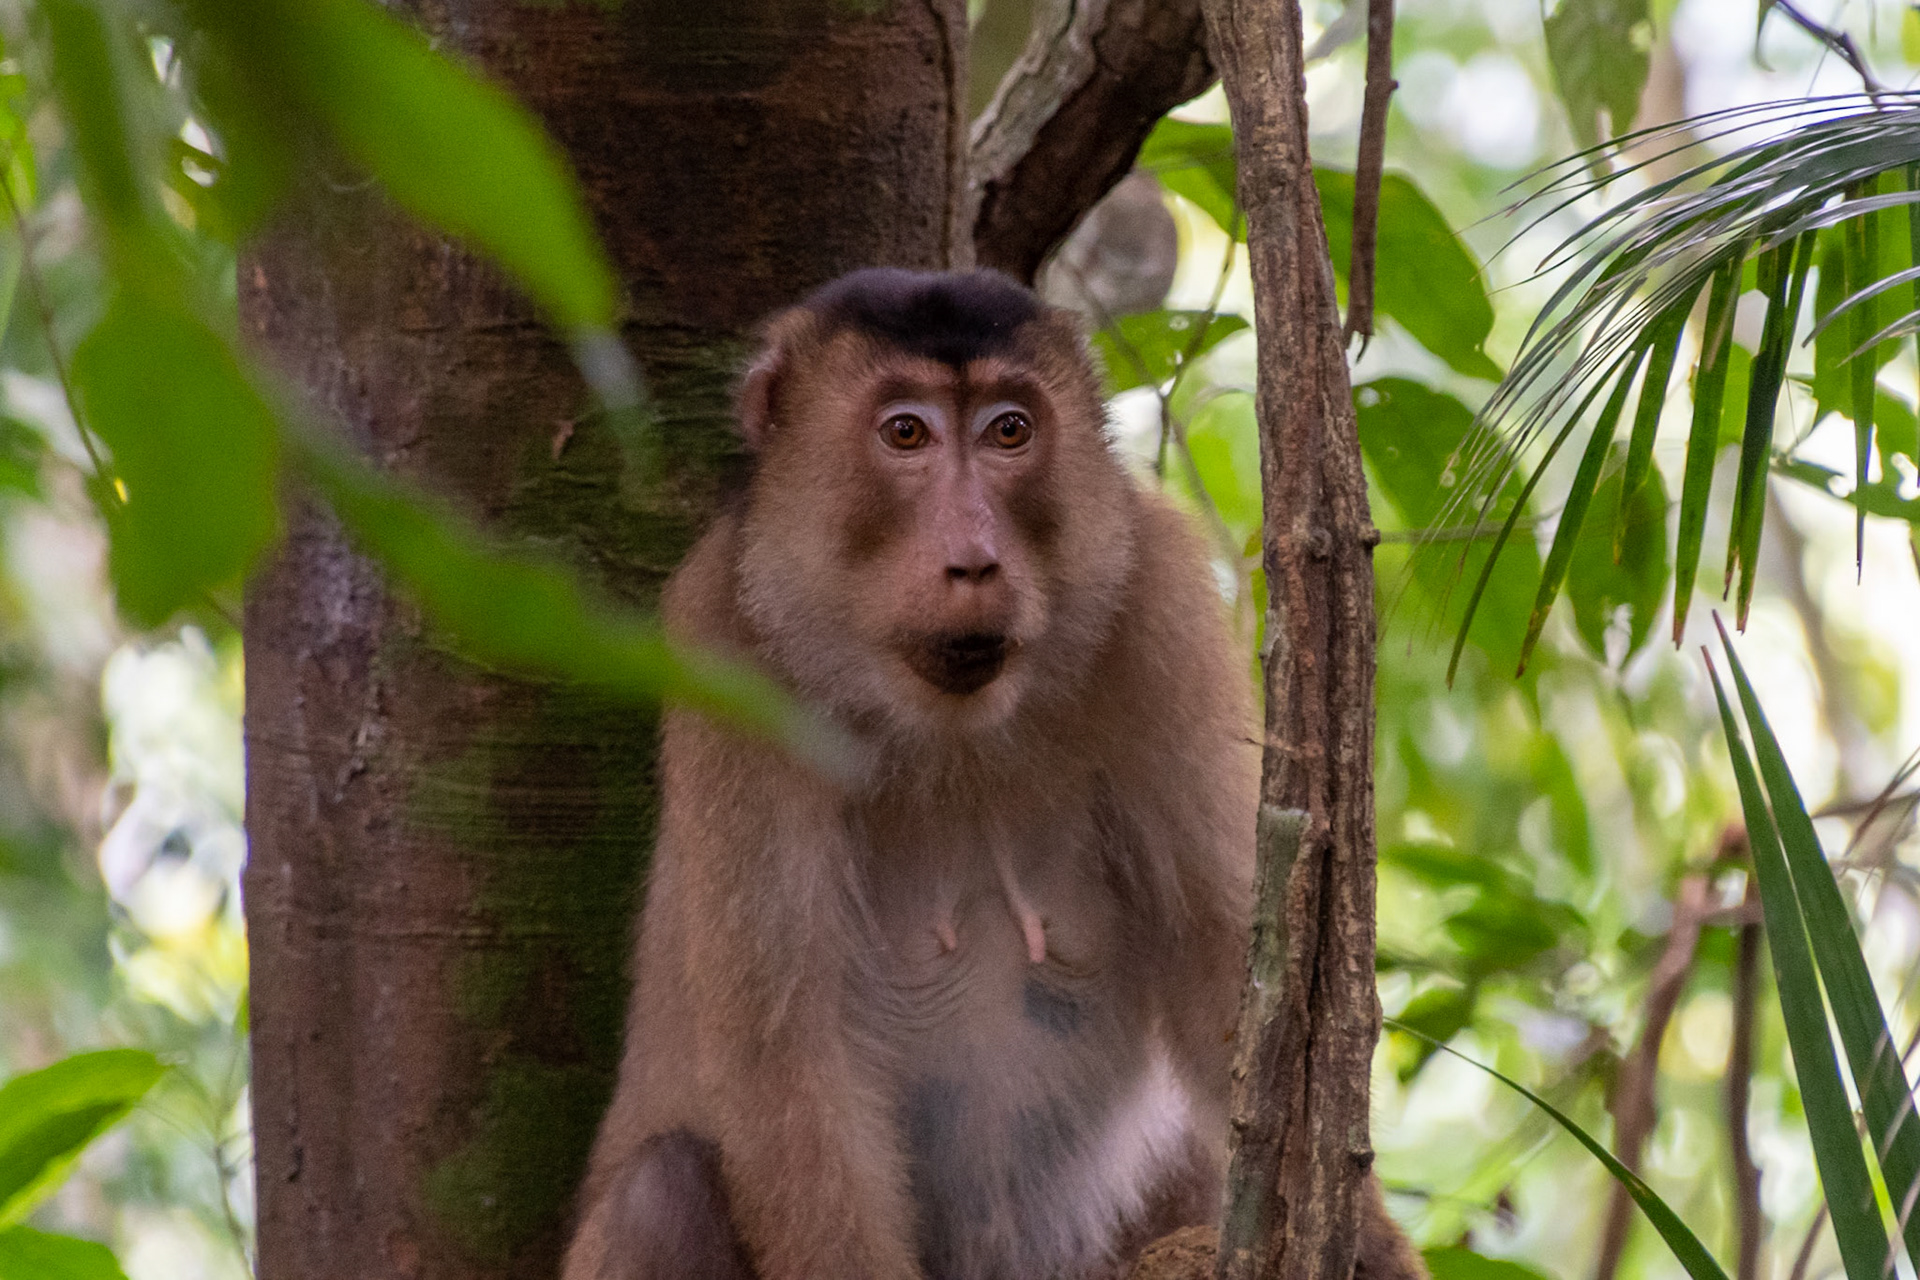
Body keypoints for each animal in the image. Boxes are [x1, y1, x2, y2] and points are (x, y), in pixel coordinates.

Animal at [562, 268, 1425, 1280]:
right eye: (906, 433)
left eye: (1009, 431)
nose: (975, 560)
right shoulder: (724, 638)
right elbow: (790, 1063)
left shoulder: (1152, 594)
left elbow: (1231, 966)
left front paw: (1357, 1234)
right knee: (660, 1190)